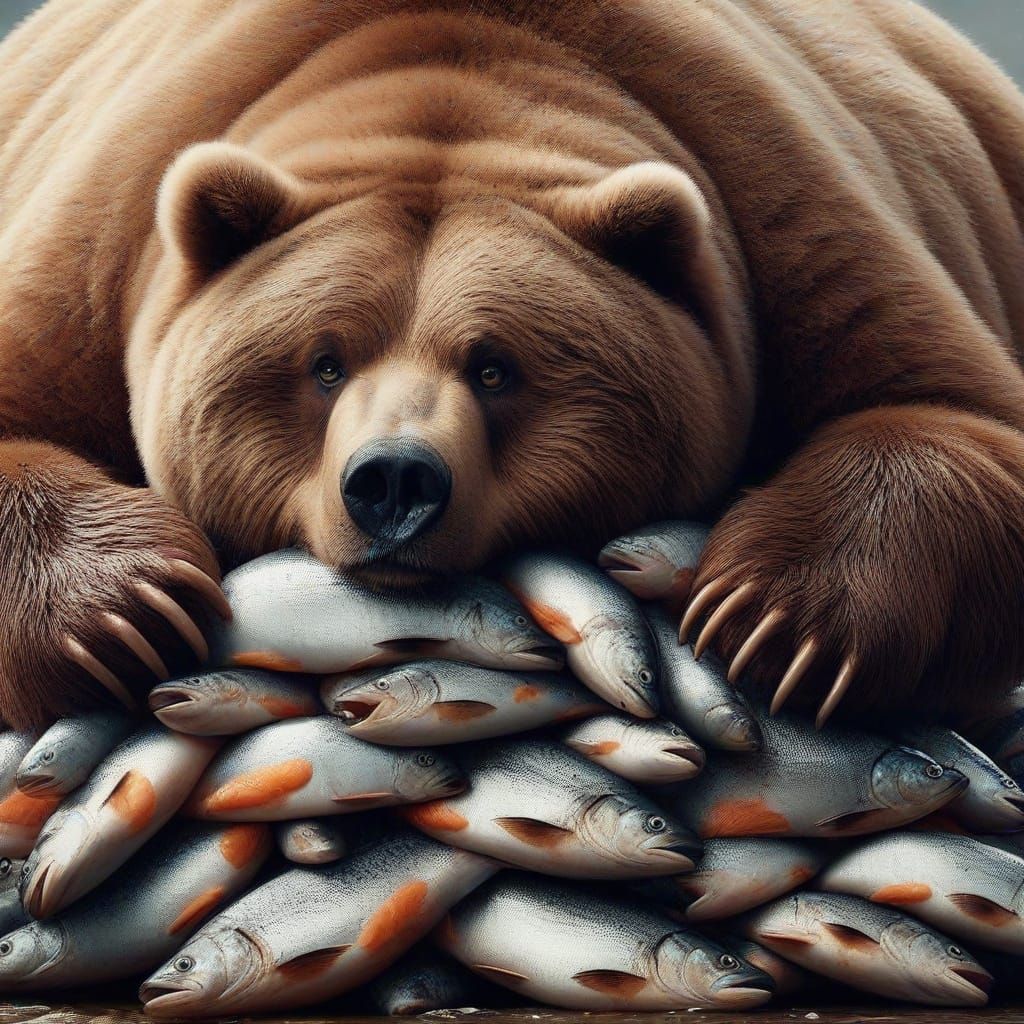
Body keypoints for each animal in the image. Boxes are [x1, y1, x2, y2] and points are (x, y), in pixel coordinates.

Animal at [0, 0, 1022, 731]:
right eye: (324, 363)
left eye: (495, 369)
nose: (394, 482)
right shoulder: (110, 230)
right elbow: (28, 405)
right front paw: (126, 619)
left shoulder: (777, 209)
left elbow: (943, 407)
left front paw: (777, 624)